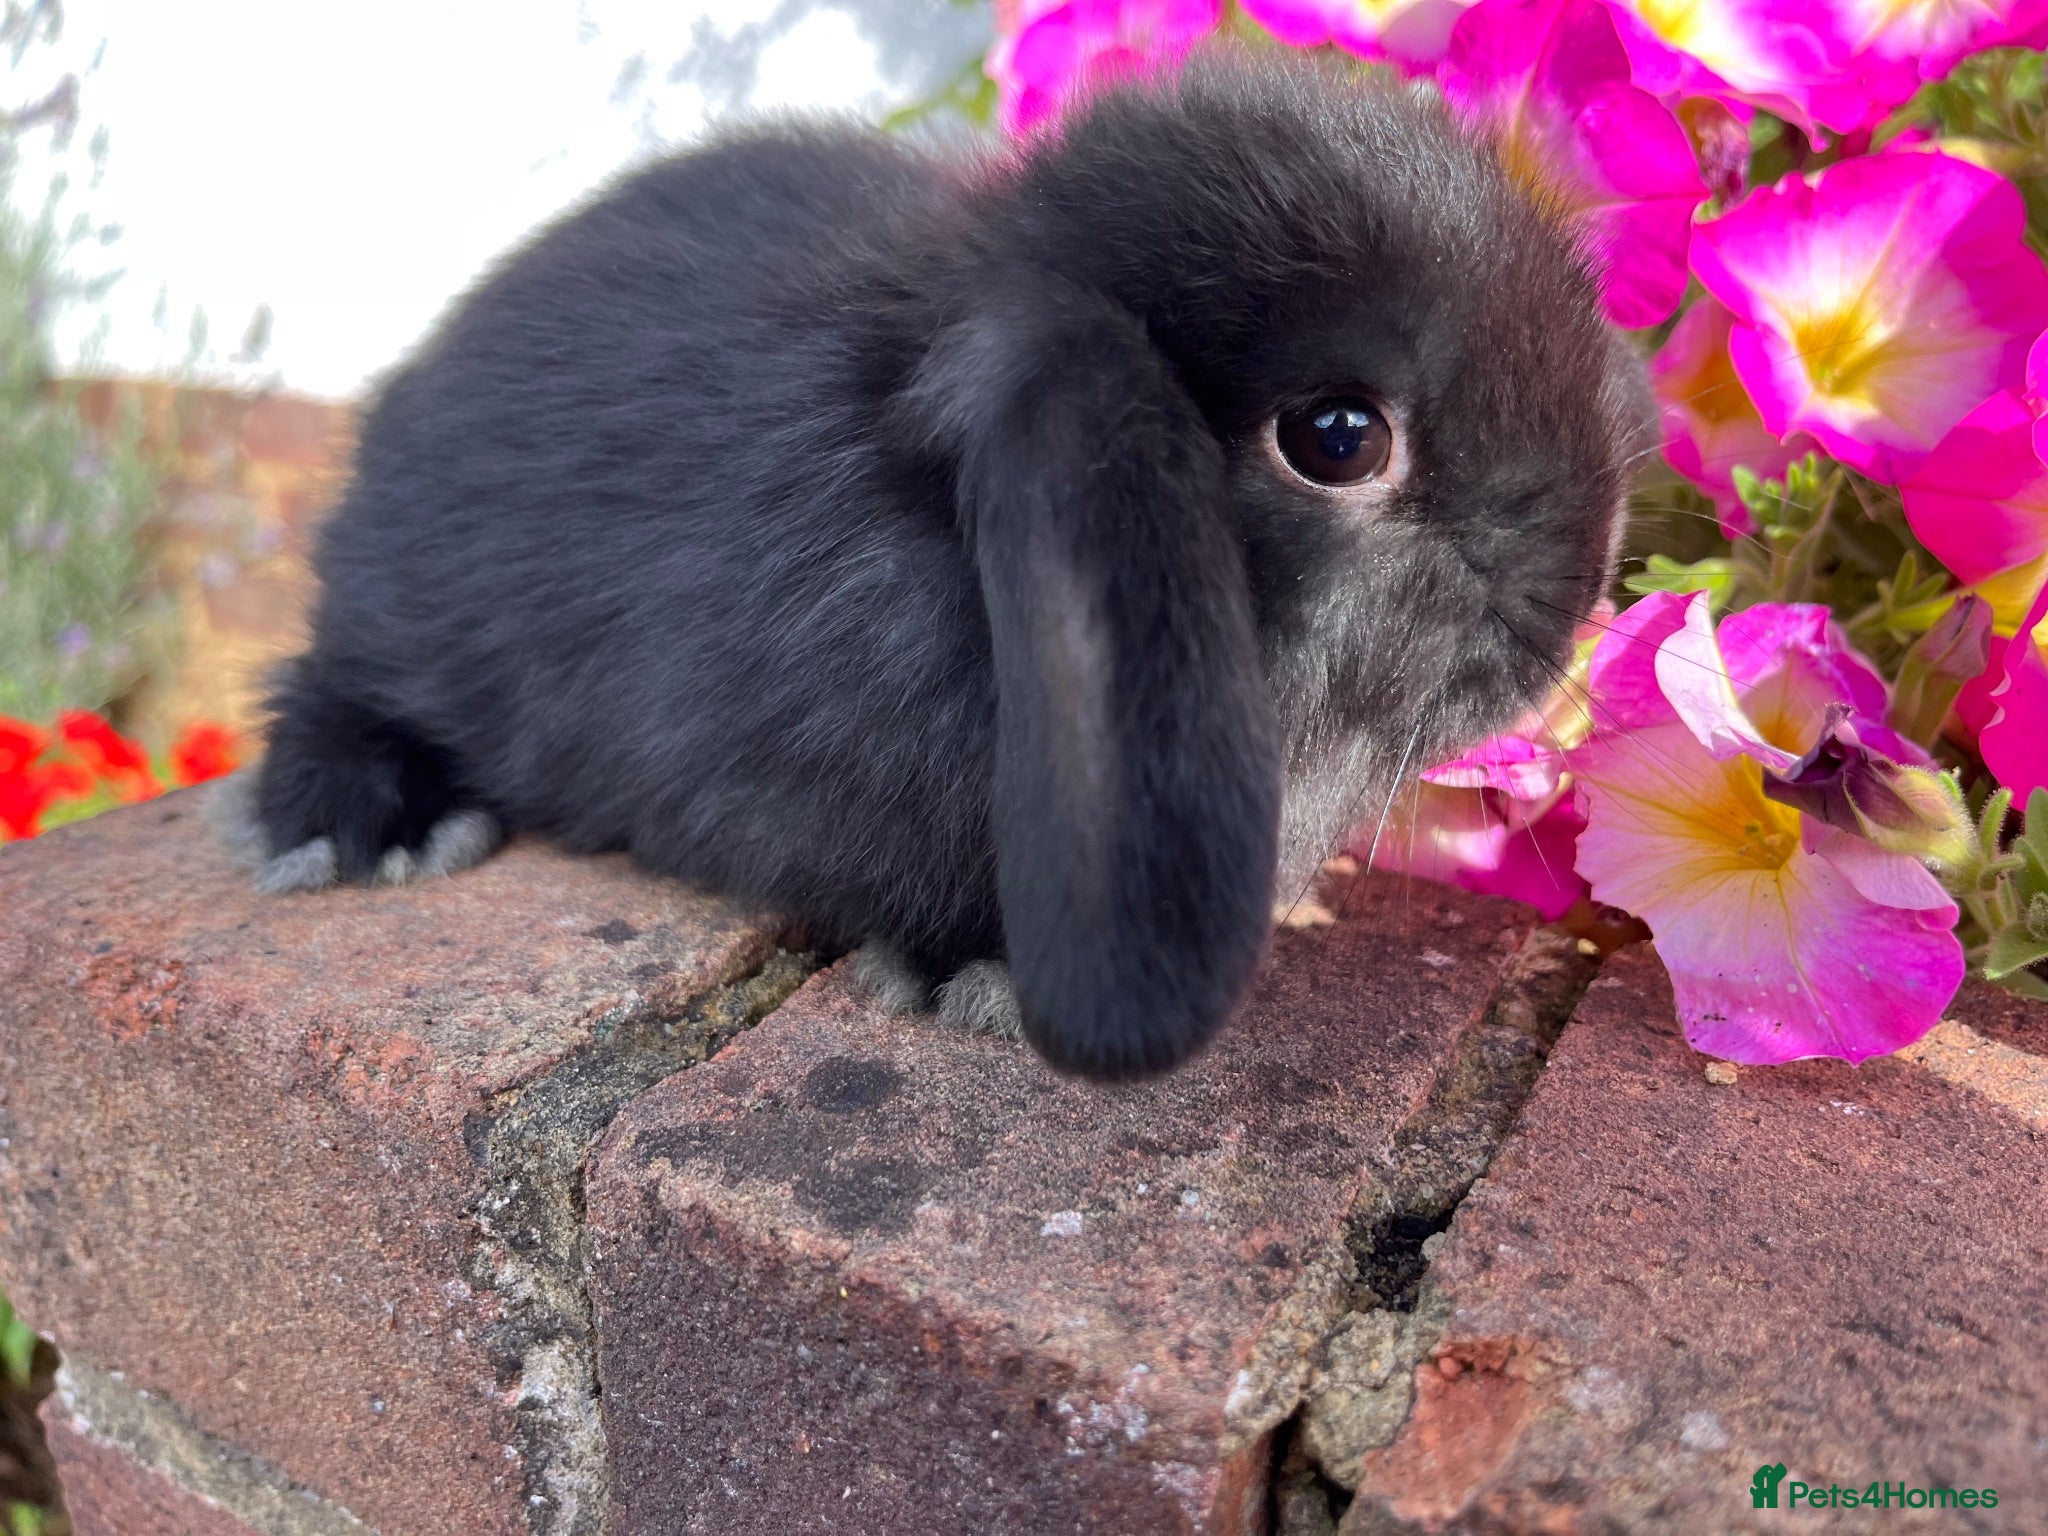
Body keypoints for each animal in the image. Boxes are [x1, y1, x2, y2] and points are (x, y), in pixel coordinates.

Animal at [234, 48, 1649, 1081]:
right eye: (1337, 438)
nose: (1584, 588)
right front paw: (978, 989)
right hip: (408, 611)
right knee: (331, 678)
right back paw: (368, 830)